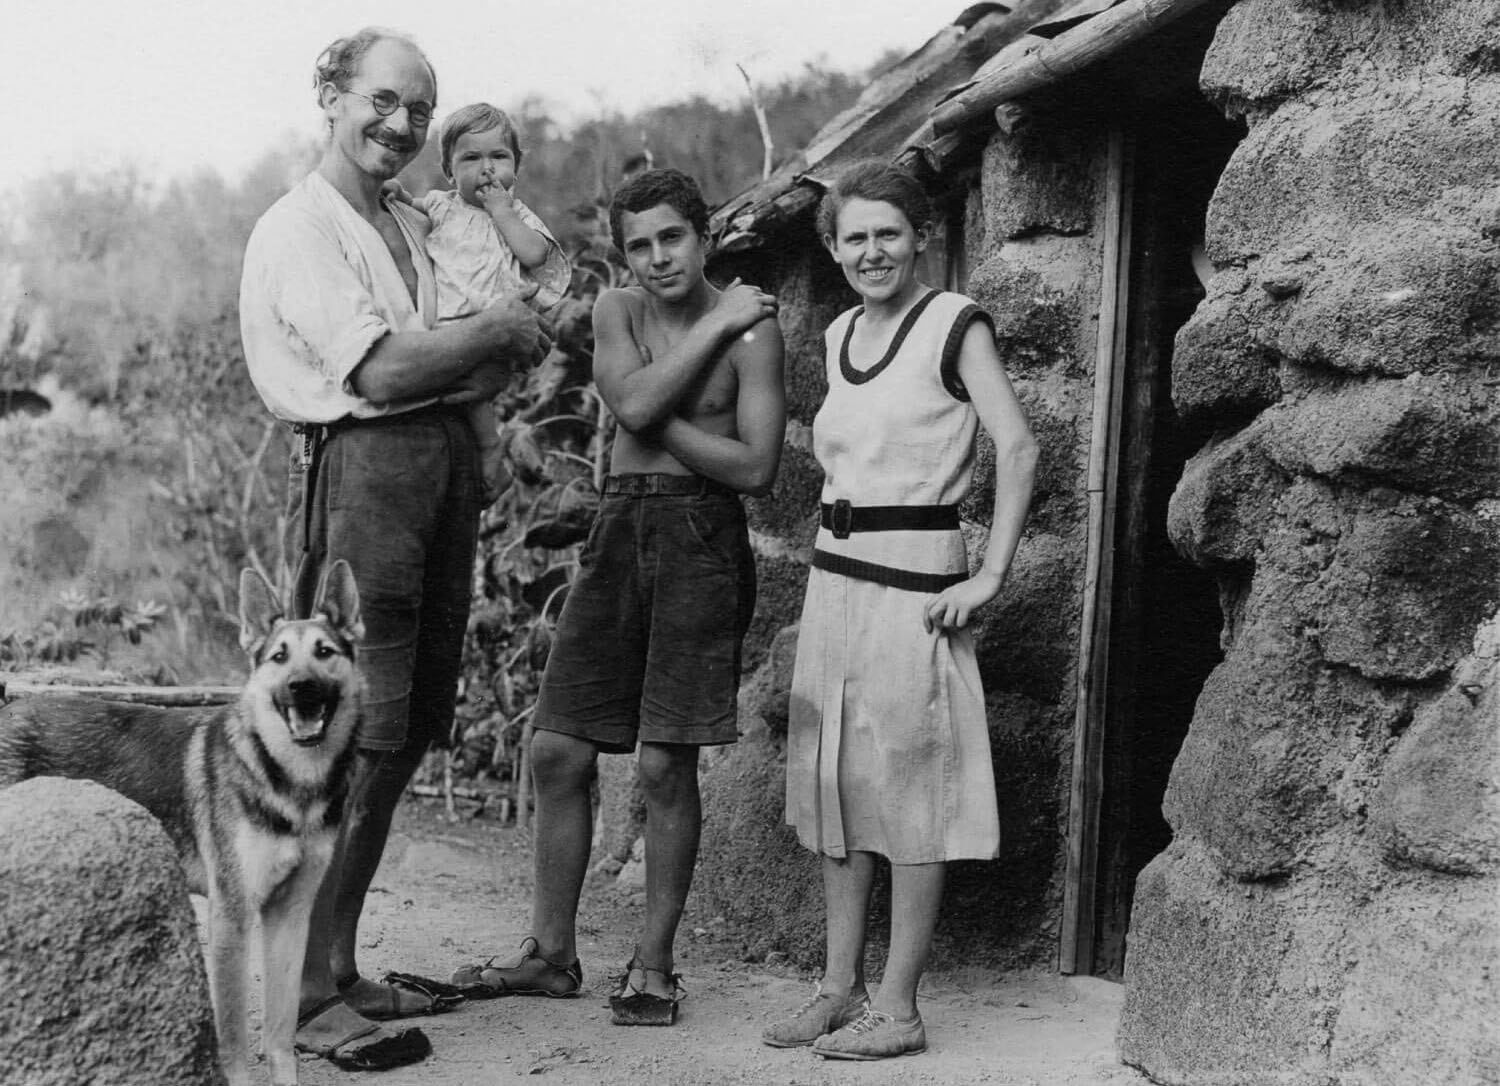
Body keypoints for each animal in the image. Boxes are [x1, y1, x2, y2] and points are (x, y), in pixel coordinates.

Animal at [0, 561, 363, 1086]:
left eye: (324, 652)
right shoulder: (231, 918)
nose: (301, 687)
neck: (288, 780)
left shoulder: (289, 916)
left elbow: (279, 1034)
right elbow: (233, 1038)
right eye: (279, 657)